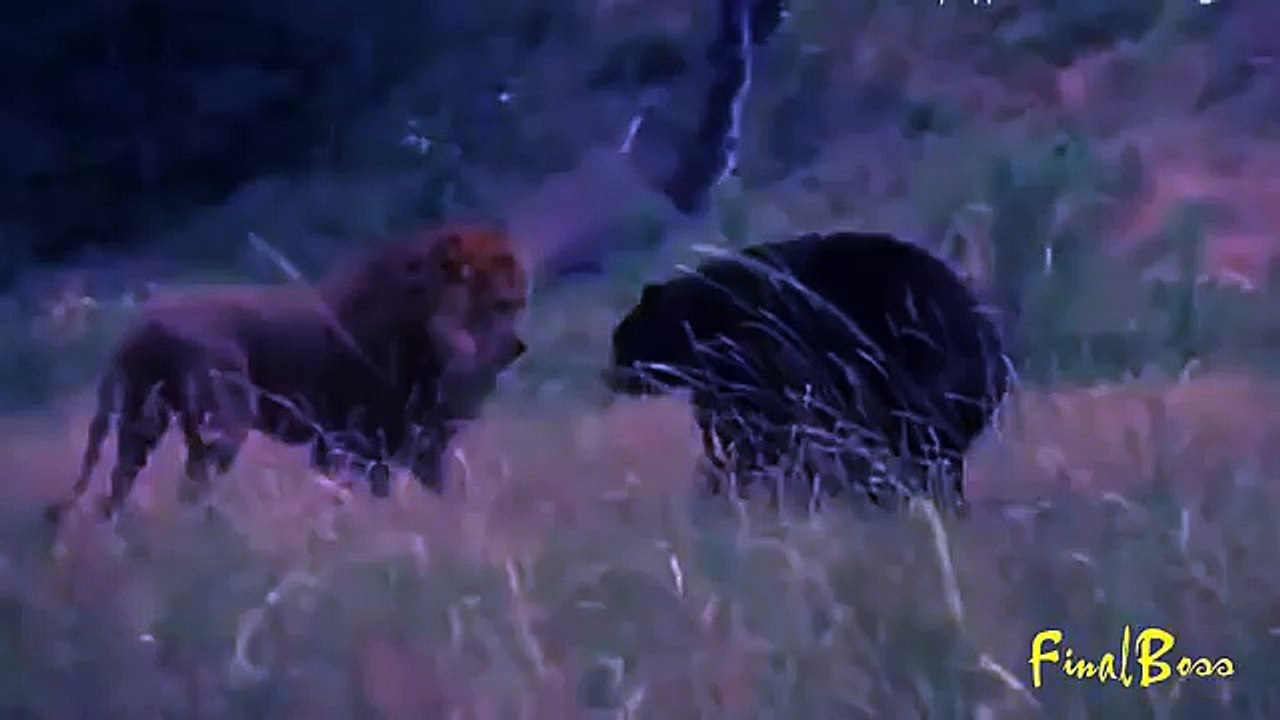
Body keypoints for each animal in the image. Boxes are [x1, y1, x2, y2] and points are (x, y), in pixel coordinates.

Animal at [45, 224, 530, 525]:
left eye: (517, 303)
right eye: (496, 304)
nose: (516, 348)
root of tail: (143, 321)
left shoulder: (411, 448)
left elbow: (437, 496)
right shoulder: (349, 446)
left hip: (143, 423)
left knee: (118, 485)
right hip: (225, 421)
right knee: (189, 485)